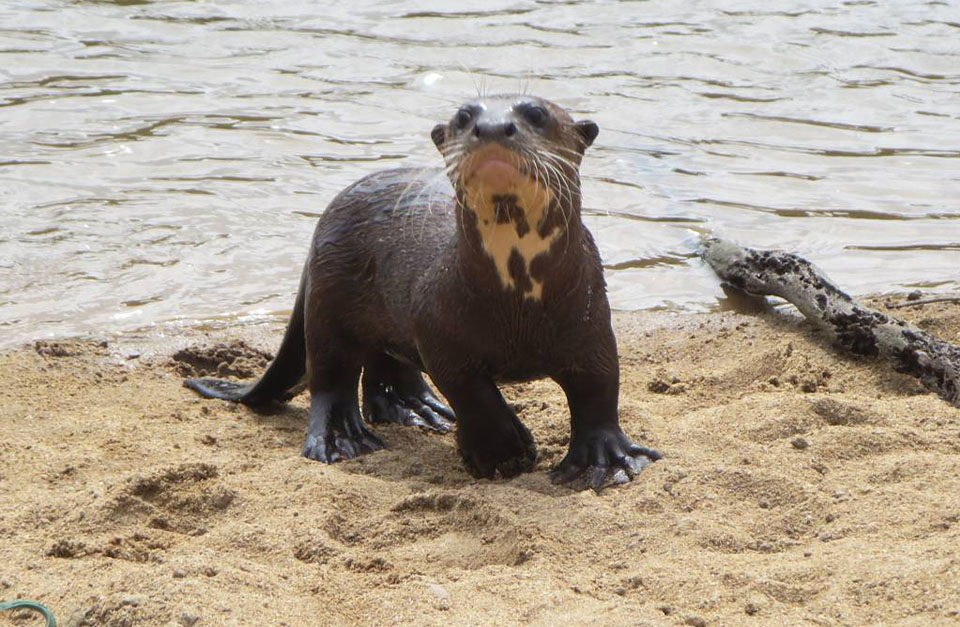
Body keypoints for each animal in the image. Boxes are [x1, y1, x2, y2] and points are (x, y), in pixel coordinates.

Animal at [185, 95, 661, 490]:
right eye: (465, 116)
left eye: (536, 113)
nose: (491, 128)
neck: (518, 306)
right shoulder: (439, 330)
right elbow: (471, 393)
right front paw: (503, 452)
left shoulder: (592, 325)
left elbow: (599, 389)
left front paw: (604, 462)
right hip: (328, 300)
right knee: (330, 377)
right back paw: (344, 439)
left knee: (385, 360)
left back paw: (417, 409)